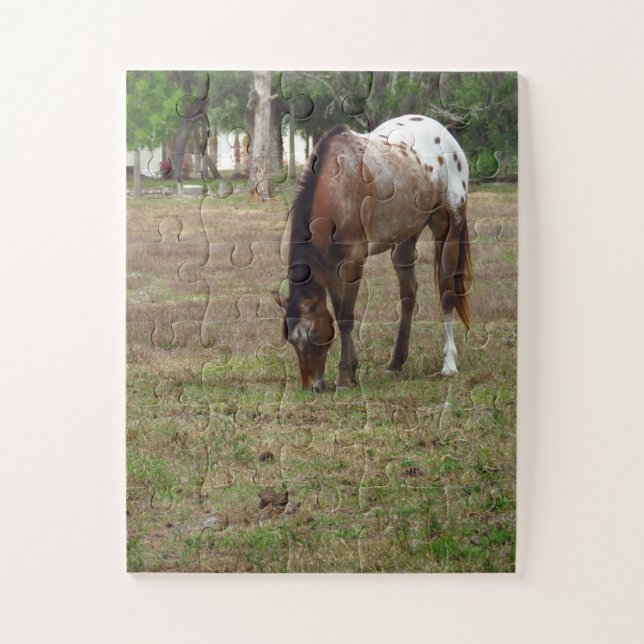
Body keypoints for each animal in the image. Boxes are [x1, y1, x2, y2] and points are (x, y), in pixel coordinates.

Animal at [272, 114, 472, 392]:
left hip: (449, 226)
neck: (337, 185)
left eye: (314, 335)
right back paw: (395, 363)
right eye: (291, 339)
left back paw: (449, 363)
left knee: (447, 292)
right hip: (405, 239)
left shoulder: (353, 261)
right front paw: (352, 370)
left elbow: (346, 316)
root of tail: (445, 134)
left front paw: (344, 377)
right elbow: (339, 311)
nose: (312, 386)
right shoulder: (332, 265)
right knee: (408, 295)